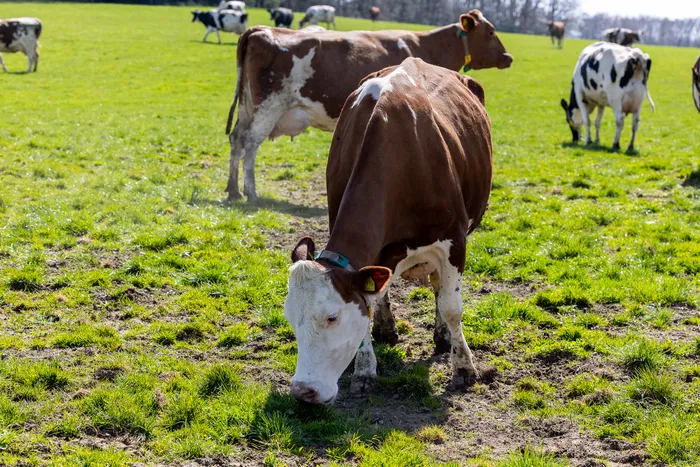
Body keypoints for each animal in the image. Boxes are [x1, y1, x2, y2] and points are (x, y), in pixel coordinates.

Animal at [224, 10, 512, 200]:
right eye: (491, 32)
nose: (508, 57)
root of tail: (260, 29)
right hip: (268, 105)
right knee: (250, 143)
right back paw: (251, 192)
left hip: (248, 106)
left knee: (236, 138)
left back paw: (233, 189)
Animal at [284, 57, 492, 404]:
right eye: (289, 317)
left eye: (331, 317)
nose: (303, 390)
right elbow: (370, 302)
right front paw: (365, 370)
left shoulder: (454, 241)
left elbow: (452, 307)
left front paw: (463, 368)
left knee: (441, 289)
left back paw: (442, 336)